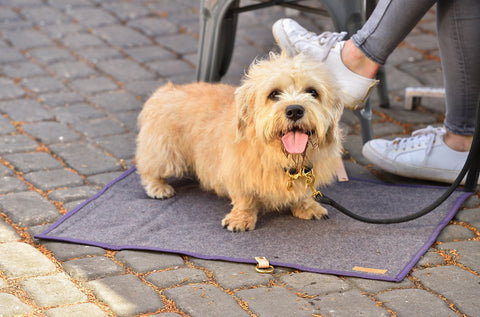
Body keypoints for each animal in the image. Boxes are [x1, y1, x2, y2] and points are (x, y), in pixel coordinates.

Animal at [137, 51, 344, 230]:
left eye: (313, 92)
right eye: (274, 94)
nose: (294, 110)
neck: (282, 157)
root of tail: (166, 89)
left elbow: (304, 194)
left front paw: (308, 206)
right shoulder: (237, 172)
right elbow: (245, 199)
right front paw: (241, 219)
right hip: (165, 153)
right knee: (148, 168)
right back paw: (158, 187)